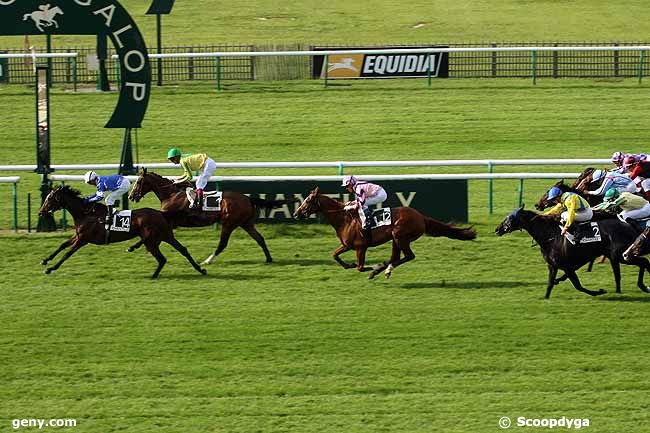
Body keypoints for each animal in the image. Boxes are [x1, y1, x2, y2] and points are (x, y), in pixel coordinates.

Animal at [38, 185, 205, 276]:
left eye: (50, 198)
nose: (40, 212)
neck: (86, 213)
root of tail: (161, 213)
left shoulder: (83, 239)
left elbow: (67, 253)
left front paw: (51, 268)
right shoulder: (78, 235)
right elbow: (62, 245)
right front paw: (45, 260)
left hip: (152, 240)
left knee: (162, 258)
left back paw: (153, 275)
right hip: (166, 236)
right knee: (182, 250)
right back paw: (200, 269)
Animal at [128, 168, 294, 264]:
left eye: (139, 181)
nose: (131, 196)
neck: (171, 195)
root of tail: (247, 198)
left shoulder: (170, 222)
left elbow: (150, 235)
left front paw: (134, 247)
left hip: (229, 223)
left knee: (222, 244)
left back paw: (207, 261)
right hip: (245, 223)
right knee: (259, 238)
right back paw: (269, 259)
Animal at [294, 187, 476, 278]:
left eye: (308, 200)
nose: (296, 213)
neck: (344, 218)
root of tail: (420, 216)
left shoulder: (360, 247)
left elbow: (360, 267)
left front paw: (373, 267)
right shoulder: (346, 245)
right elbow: (334, 255)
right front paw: (349, 265)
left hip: (400, 236)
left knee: (408, 256)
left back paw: (383, 270)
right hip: (396, 239)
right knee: (396, 257)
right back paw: (385, 269)